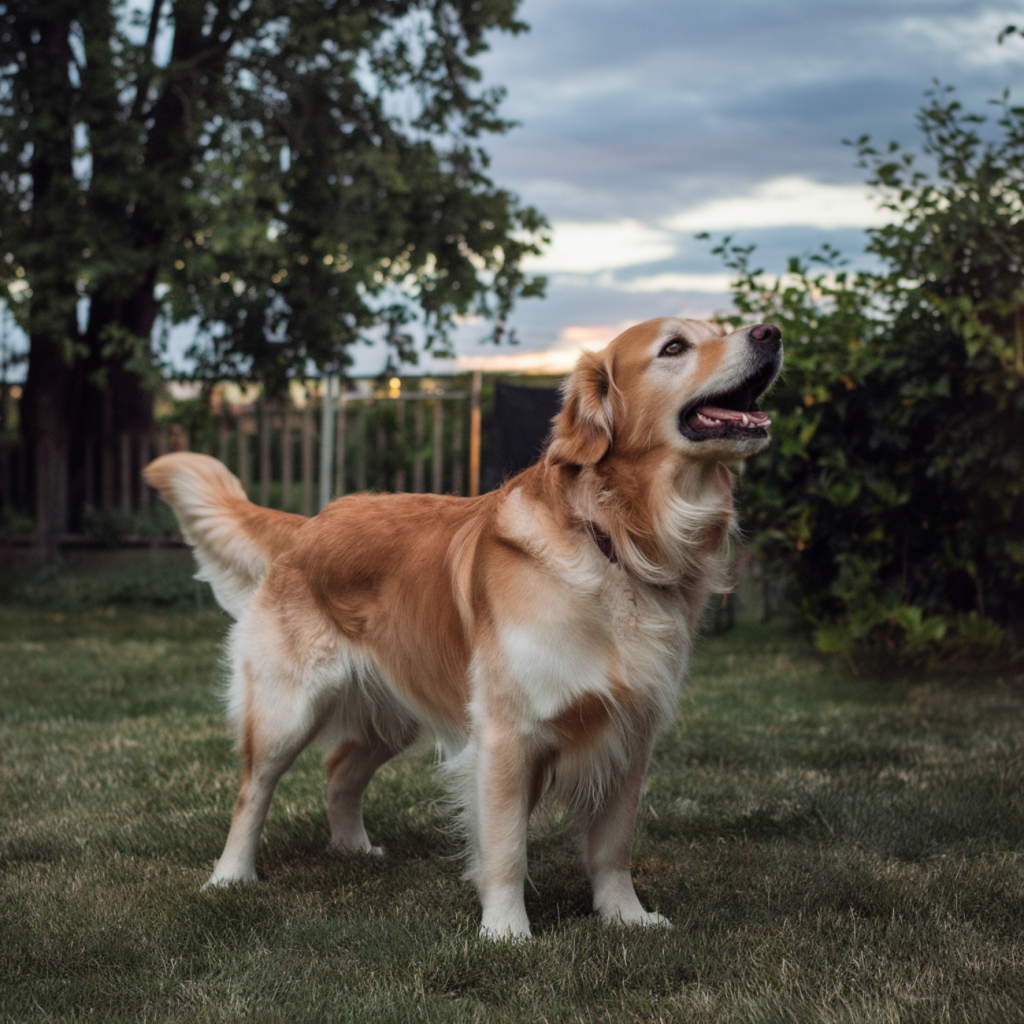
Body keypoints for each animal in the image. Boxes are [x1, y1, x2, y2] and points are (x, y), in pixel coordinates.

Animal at [146, 317, 782, 937]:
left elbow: (613, 847)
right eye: (674, 347)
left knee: (339, 770)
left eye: (721, 327)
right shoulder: (506, 733)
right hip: (287, 708)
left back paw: (354, 849)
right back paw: (230, 877)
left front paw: (626, 917)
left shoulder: (630, 731)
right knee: (252, 792)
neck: (615, 536)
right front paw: (505, 932)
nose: (771, 333)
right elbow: (506, 848)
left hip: (395, 711)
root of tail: (308, 523)